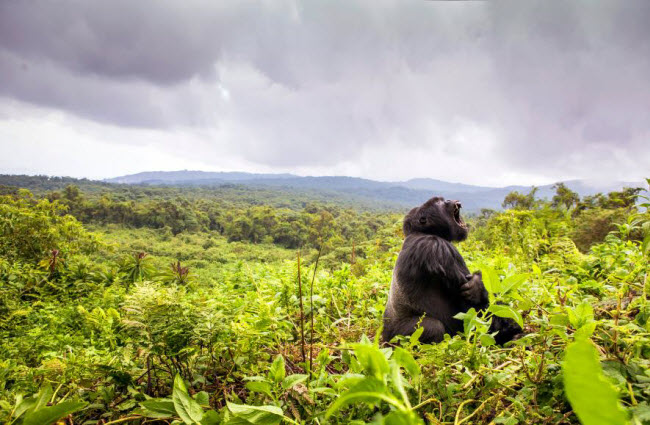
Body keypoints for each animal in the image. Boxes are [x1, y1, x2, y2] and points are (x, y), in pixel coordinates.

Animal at [380, 195, 520, 344]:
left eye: (442, 200)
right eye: (438, 202)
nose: (450, 201)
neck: (420, 232)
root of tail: (383, 337)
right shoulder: (437, 247)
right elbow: (473, 308)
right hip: (397, 337)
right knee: (433, 327)